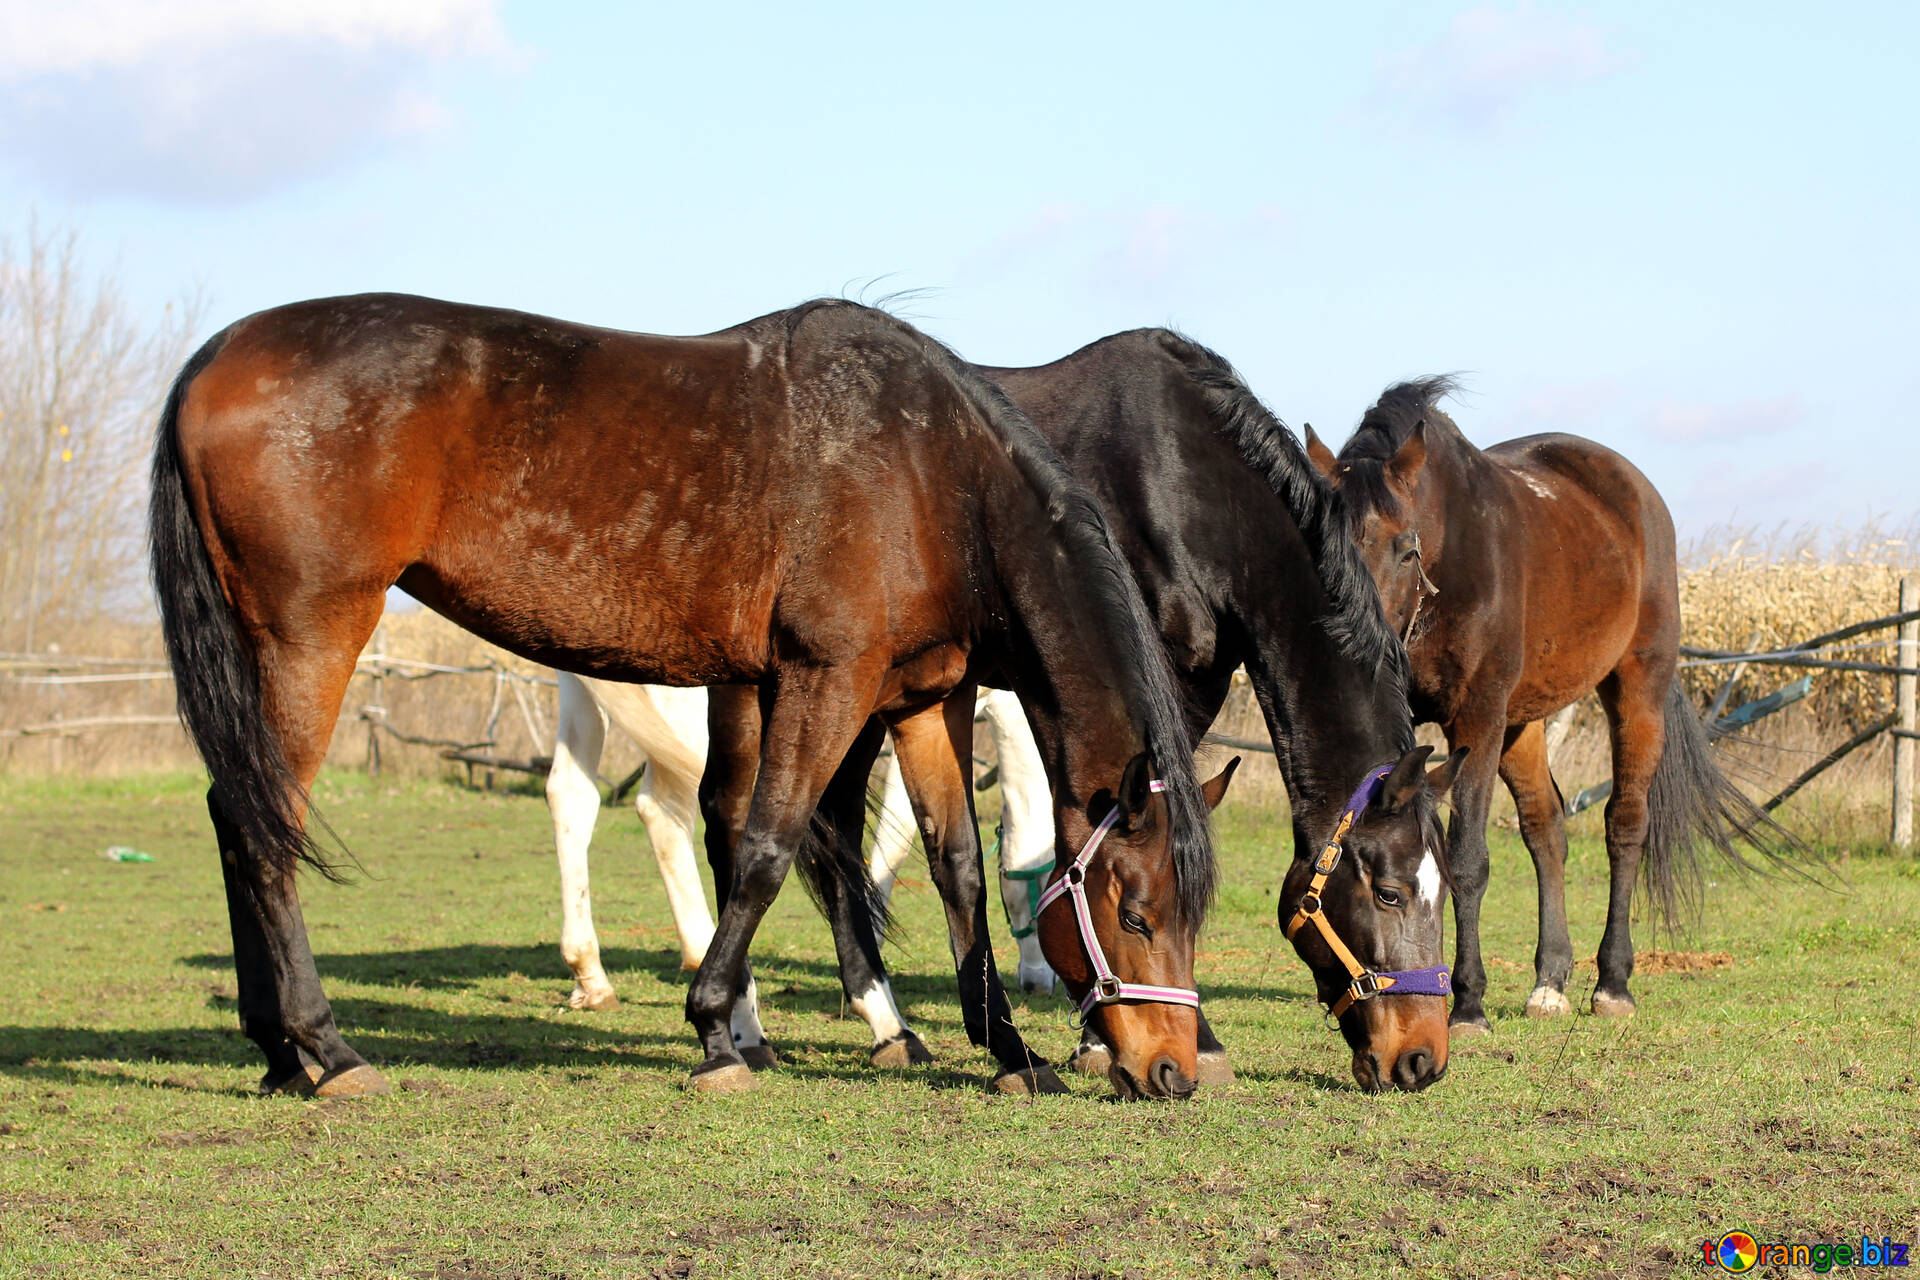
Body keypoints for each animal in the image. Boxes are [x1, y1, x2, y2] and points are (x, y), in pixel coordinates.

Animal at [541, 675, 1059, 1059]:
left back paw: (595, 972)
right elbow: (894, 840)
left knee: (577, 795)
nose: (1038, 981)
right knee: (685, 808)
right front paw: (872, 949)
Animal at [706, 330, 1466, 1090]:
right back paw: (745, 1032)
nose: (1420, 1059)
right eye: (1391, 893)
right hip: (764, 686)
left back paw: (886, 1026)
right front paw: (1147, 1036)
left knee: (830, 823)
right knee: (731, 818)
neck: (1187, 485)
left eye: (1411, 550)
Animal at [1305, 378, 1797, 1028]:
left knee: (1625, 824)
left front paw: (1467, 1002)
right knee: (1547, 827)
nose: (1360, 643)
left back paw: (1612, 982)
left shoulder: (1477, 719)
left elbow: (1466, 859)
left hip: (1634, 691)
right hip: (1523, 723)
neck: (1452, 554)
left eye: (1405, 550)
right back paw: (1550, 979)